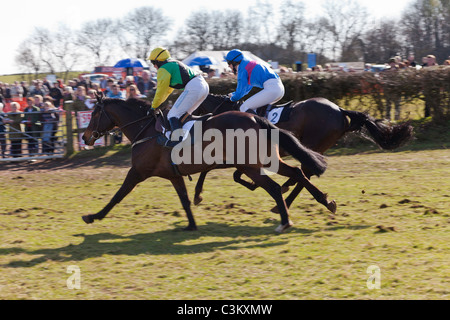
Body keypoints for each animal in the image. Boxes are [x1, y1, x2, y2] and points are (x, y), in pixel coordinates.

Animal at [80, 96, 338, 234]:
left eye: (94, 114)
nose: (85, 137)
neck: (145, 131)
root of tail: (258, 118)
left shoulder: (138, 171)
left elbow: (118, 195)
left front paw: (94, 216)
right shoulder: (173, 175)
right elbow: (184, 199)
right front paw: (191, 224)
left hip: (251, 166)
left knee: (275, 187)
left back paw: (284, 221)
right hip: (265, 161)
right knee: (298, 171)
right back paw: (326, 201)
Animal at [192, 94, 414, 211]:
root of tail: (340, 110)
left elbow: (216, 171)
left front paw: (198, 195)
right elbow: (230, 174)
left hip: (313, 144)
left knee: (305, 172)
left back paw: (287, 198)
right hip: (316, 147)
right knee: (305, 172)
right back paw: (287, 192)